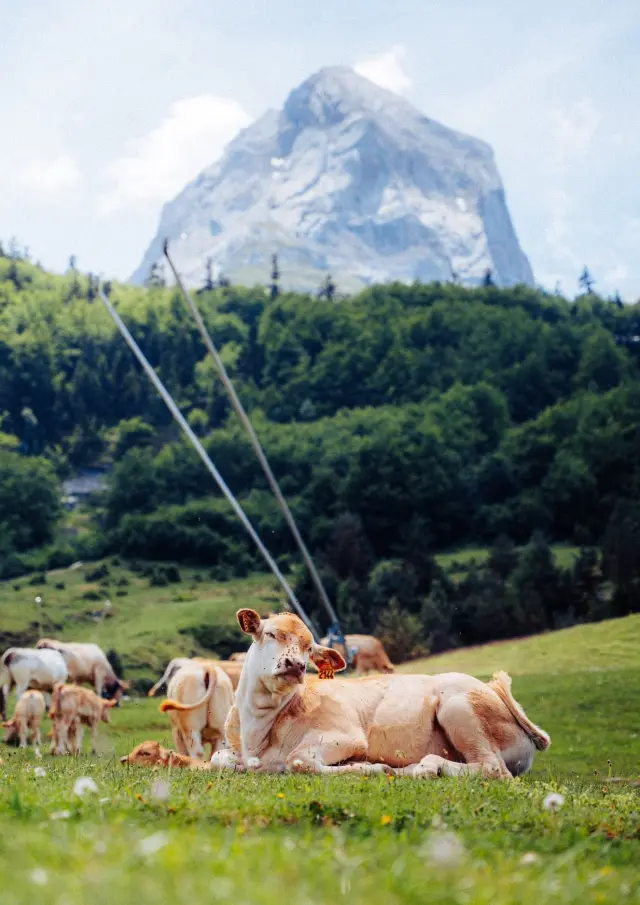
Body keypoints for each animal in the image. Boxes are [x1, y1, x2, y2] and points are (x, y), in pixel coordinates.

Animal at [205, 608, 550, 778]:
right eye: (270, 633)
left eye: (309, 648)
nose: (296, 665)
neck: (257, 731)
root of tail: (496, 692)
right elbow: (218, 760)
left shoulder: (346, 735)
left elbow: (298, 761)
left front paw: (367, 768)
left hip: (458, 707)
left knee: (492, 769)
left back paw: (430, 767)